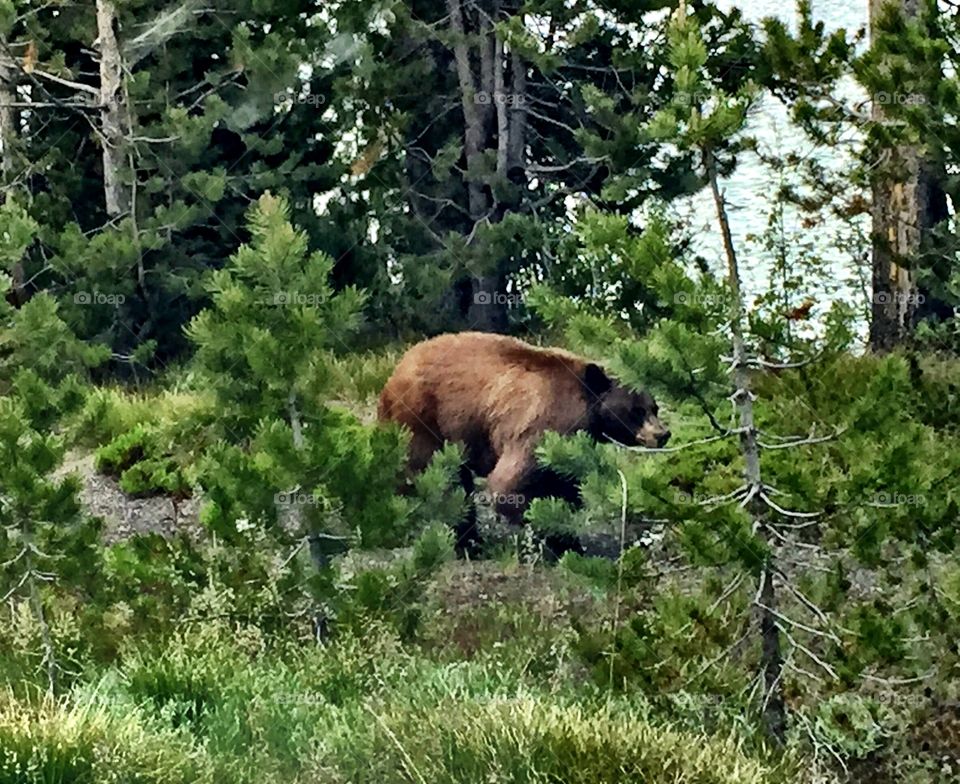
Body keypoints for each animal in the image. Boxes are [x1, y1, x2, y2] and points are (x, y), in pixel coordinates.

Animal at [377, 332, 670, 555]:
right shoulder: (540, 426)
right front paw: (556, 540)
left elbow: (565, 487)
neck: (586, 406)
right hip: (422, 419)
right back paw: (465, 542)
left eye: (653, 407)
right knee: (438, 477)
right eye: (636, 411)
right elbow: (511, 484)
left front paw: (568, 540)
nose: (663, 434)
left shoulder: (569, 445)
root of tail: (393, 376)